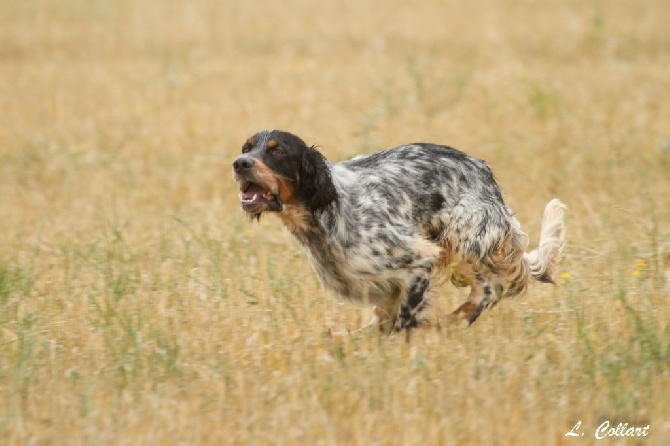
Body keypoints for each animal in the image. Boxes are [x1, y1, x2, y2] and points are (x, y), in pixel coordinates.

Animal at [232, 129, 568, 332]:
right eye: (247, 147)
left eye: (277, 151)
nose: (239, 163)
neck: (325, 212)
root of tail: (485, 173)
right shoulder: (384, 286)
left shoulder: (418, 262)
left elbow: (403, 322)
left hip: (463, 236)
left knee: (491, 287)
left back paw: (451, 322)